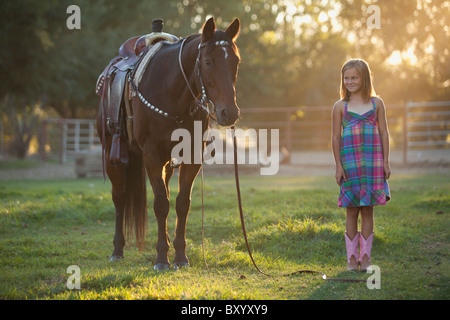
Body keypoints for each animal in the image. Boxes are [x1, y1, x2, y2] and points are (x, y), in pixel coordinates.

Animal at [96, 16, 241, 268]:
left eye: (236, 62)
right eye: (207, 61)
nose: (229, 113)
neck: (171, 92)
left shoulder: (191, 156)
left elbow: (182, 203)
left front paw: (180, 256)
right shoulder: (152, 156)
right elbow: (161, 204)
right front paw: (162, 258)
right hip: (113, 156)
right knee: (120, 197)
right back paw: (117, 250)